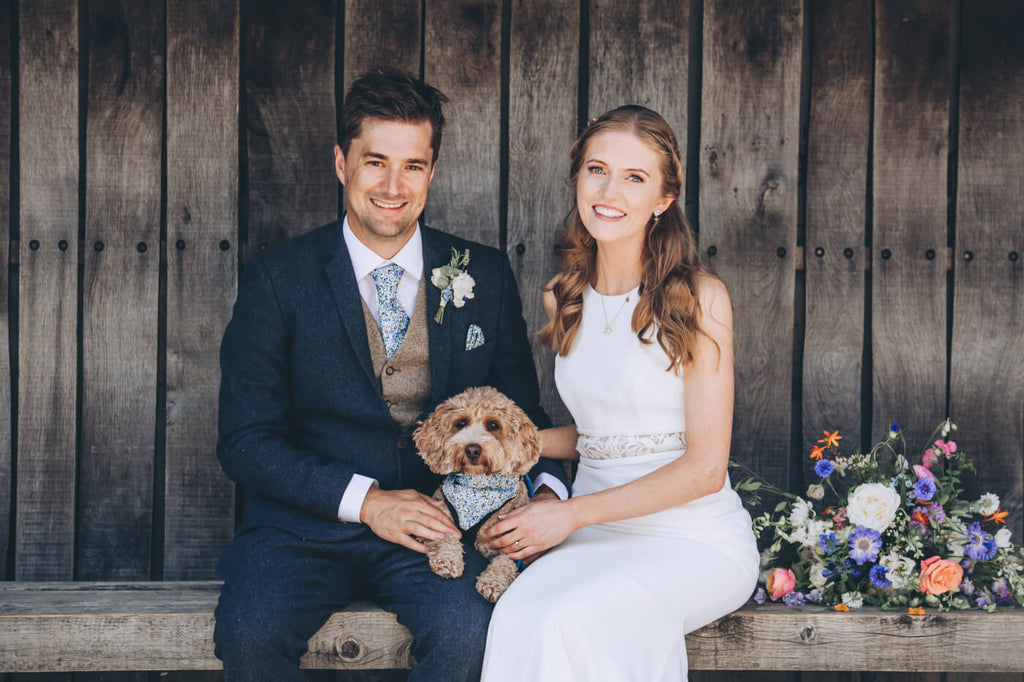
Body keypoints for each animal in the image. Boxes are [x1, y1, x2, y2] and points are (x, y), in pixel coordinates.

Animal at [413, 387, 544, 602]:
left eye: (493, 425)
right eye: (461, 423)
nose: (472, 449)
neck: (478, 488)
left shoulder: (511, 542)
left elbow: (505, 563)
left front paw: (493, 583)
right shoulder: (440, 515)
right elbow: (444, 537)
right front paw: (447, 560)